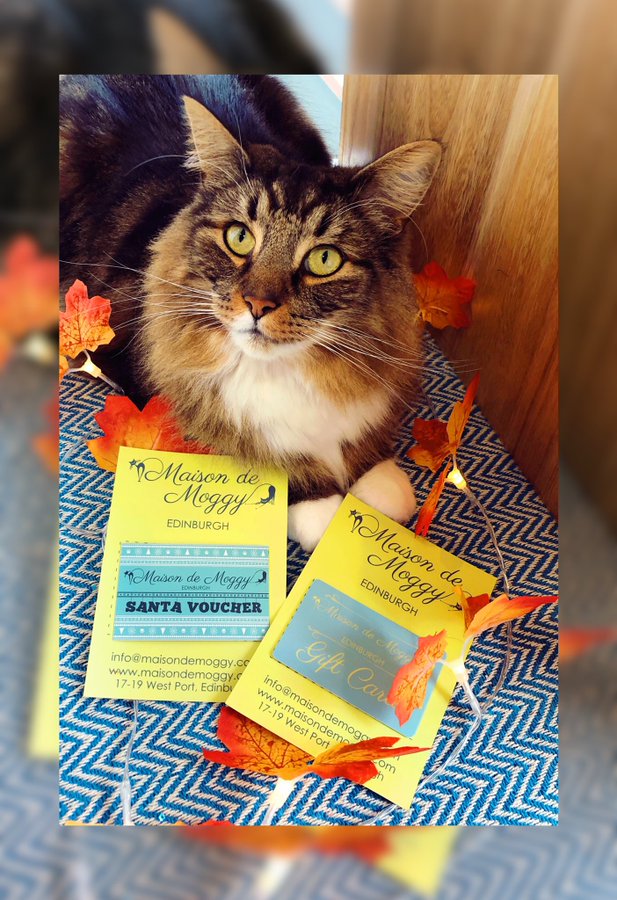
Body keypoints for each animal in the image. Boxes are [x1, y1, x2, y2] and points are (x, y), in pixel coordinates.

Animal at [60, 75, 441, 551]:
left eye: (324, 260)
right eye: (239, 237)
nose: (258, 305)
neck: (285, 370)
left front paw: (379, 481)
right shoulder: (131, 358)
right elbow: (270, 453)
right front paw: (322, 508)